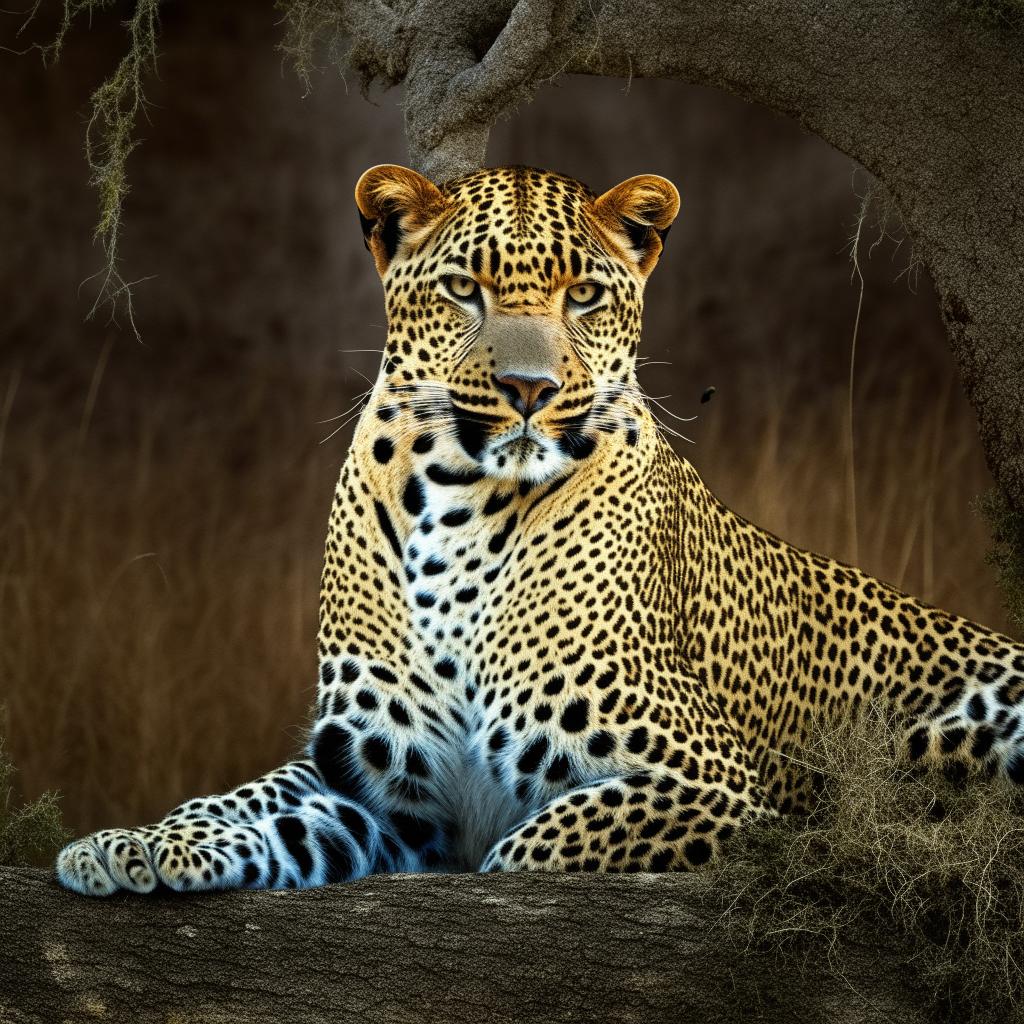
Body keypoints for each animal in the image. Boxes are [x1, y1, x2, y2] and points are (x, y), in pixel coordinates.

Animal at [54, 163, 1024, 892]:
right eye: (463, 289)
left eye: (584, 295)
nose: (530, 389)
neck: (459, 503)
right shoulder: (377, 782)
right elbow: (246, 802)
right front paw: (129, 844)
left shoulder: (709, 783)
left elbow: (525, 851)